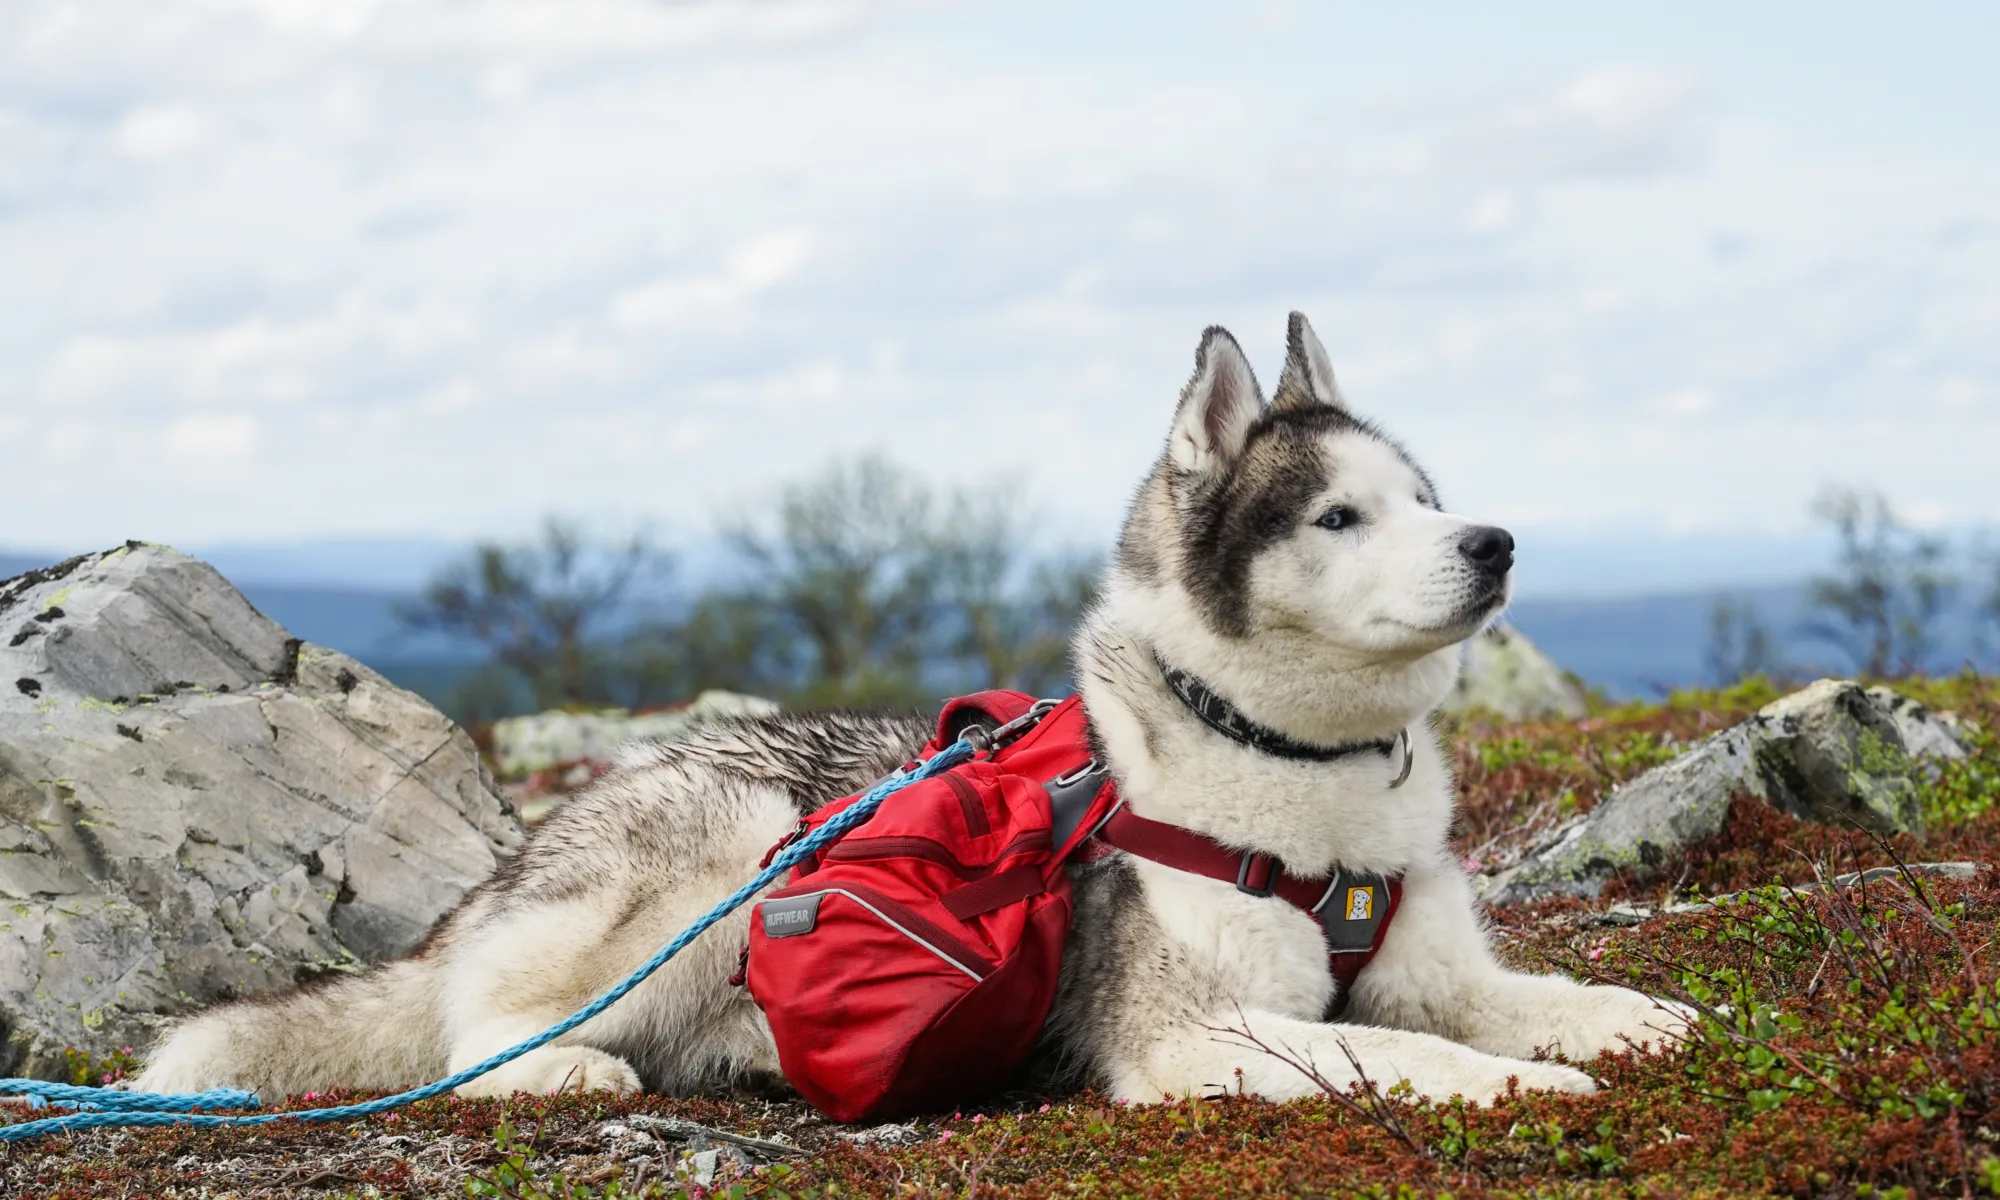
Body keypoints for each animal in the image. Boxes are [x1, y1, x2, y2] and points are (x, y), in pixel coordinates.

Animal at [133, 314, 1680, 1104]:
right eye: (1339, 517)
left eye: (1424, 498)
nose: (1494, 544)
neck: (1302, 773)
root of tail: (519, 854)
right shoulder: (1195, 1036)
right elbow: (1391, 1047)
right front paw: (1517, 1086)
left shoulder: (1435, 965)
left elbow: (1521, 998)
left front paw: (1623, 1023)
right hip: (729, 841)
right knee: (471, 1043)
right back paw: (556, 1073)